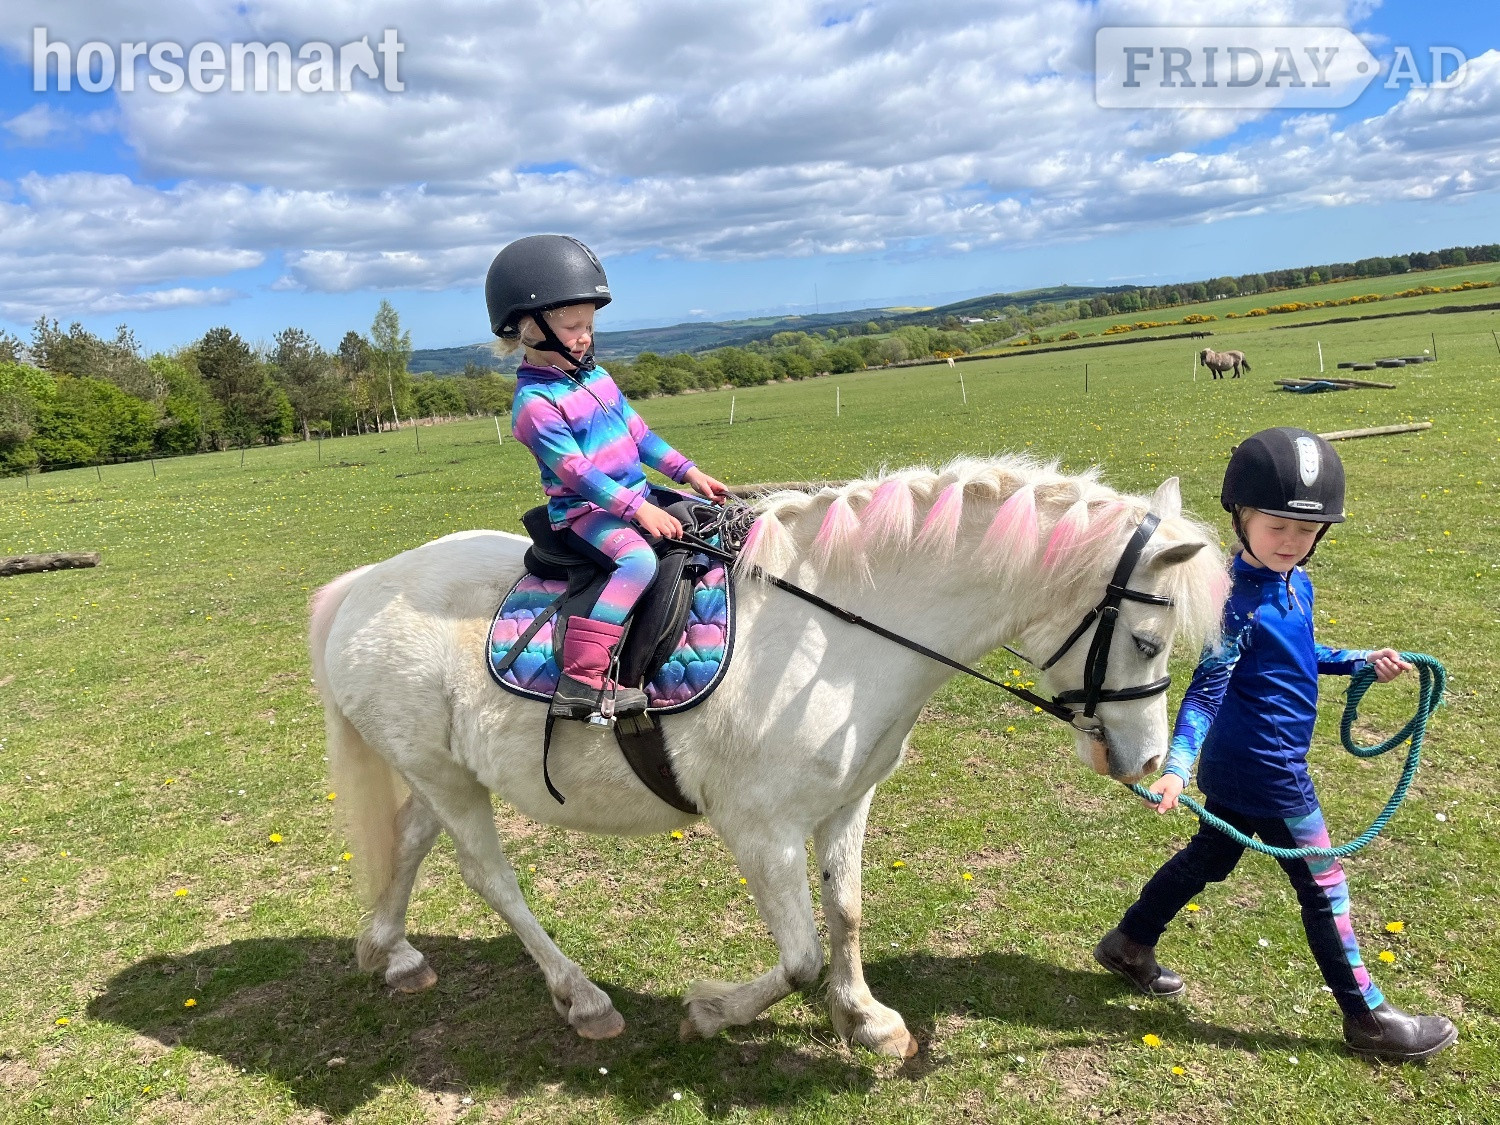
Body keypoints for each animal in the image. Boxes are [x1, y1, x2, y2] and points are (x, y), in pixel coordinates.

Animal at [309, 455, 1225, 1058]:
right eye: (1148, 640)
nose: (1148, 762)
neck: (838, 632)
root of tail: (362, 583)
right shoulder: (762, 831)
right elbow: (799, 956)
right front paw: (712, 1013)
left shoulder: (847, 803)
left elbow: (846, 914)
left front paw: (866, 1019)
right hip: (448, 778)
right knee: (489, 876)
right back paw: (583, 998)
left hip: (444, 771)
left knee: (410, 840)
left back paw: (390, 952)